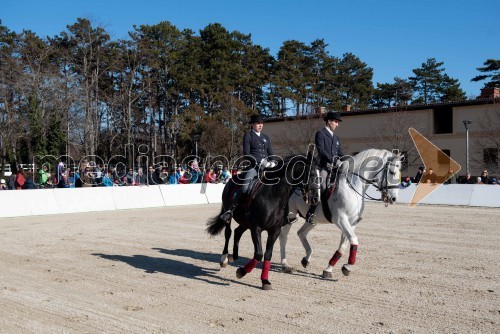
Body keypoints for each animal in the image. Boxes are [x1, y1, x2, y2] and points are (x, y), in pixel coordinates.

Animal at [207, 152, 320, 290]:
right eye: (311, 174)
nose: (316, 199)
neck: (274, 196)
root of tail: (232, 180)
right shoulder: (256, 228)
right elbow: (259, 254)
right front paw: (241, 272)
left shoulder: (274, 231)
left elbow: (268, 255)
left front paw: (265, 280)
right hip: (229, 214)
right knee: (228, 233)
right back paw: (224, 258)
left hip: (245, 222)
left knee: (238, 232)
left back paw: (233, 256)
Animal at [280, 148, 404, 276]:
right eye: (392, 172)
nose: (394, 198)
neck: (352, 187)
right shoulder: (341, 219)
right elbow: (354, 239)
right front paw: (347, 265)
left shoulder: (352, 222)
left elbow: (344, 245)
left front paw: (331, 268)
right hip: (290, 215)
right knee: (283, 237)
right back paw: (285, 264)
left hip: (313, 219)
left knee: (301, 233)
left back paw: (306, 259)